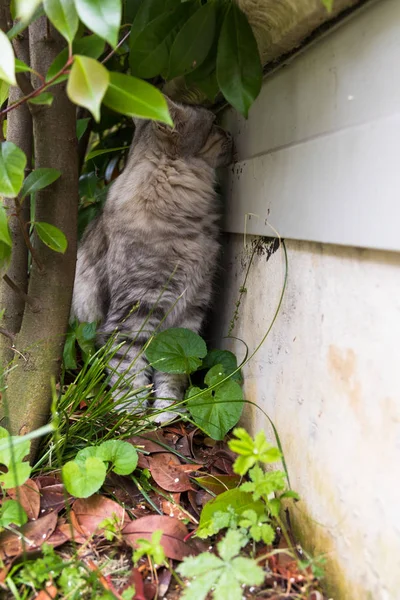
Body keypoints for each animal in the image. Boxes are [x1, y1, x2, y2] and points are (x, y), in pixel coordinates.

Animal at [72, 98, 233, 422]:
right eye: (213, 124)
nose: (232, 134)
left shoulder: (187, 313)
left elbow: (172, 373)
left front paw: (166, 411)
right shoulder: (135, 311)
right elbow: (128, 370)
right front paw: (131, 415)